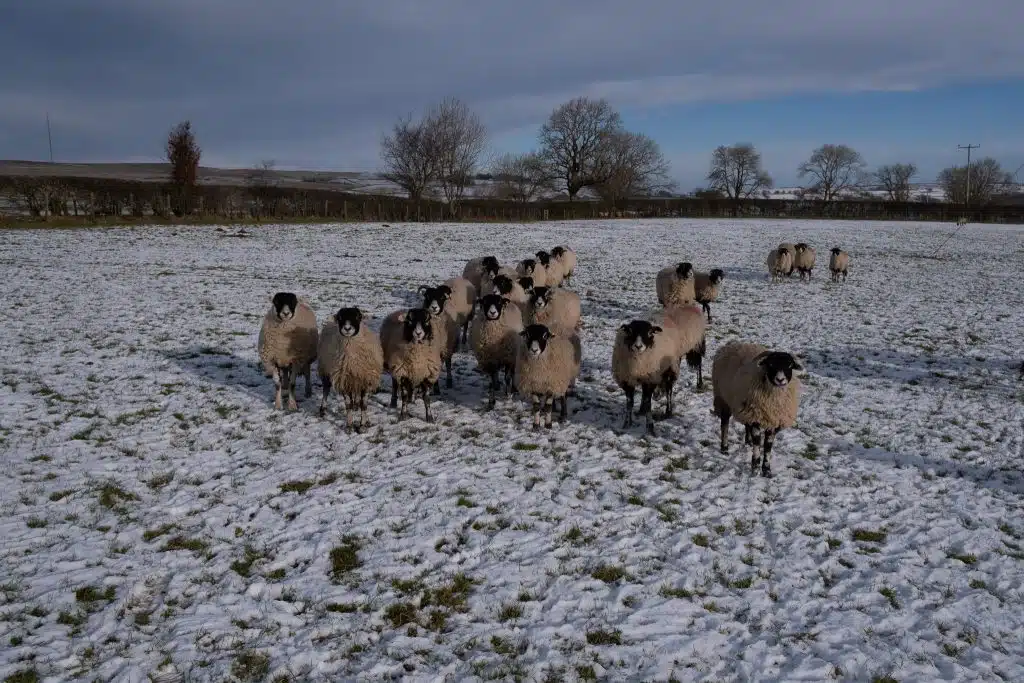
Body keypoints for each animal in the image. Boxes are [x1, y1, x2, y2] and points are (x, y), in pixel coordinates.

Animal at [712, 342, 798, 481]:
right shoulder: (756, 418)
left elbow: (768, 446)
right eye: (770, 364)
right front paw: (755, 468)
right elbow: (757, 442)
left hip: (746, 409)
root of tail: (733, 343)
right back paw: (724, 448)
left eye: (789, 365)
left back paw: (747, 441)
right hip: (723, 398)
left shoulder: (772, 420)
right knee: (724, 423)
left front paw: (767, 470)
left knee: (746, 425)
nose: (780, 380)